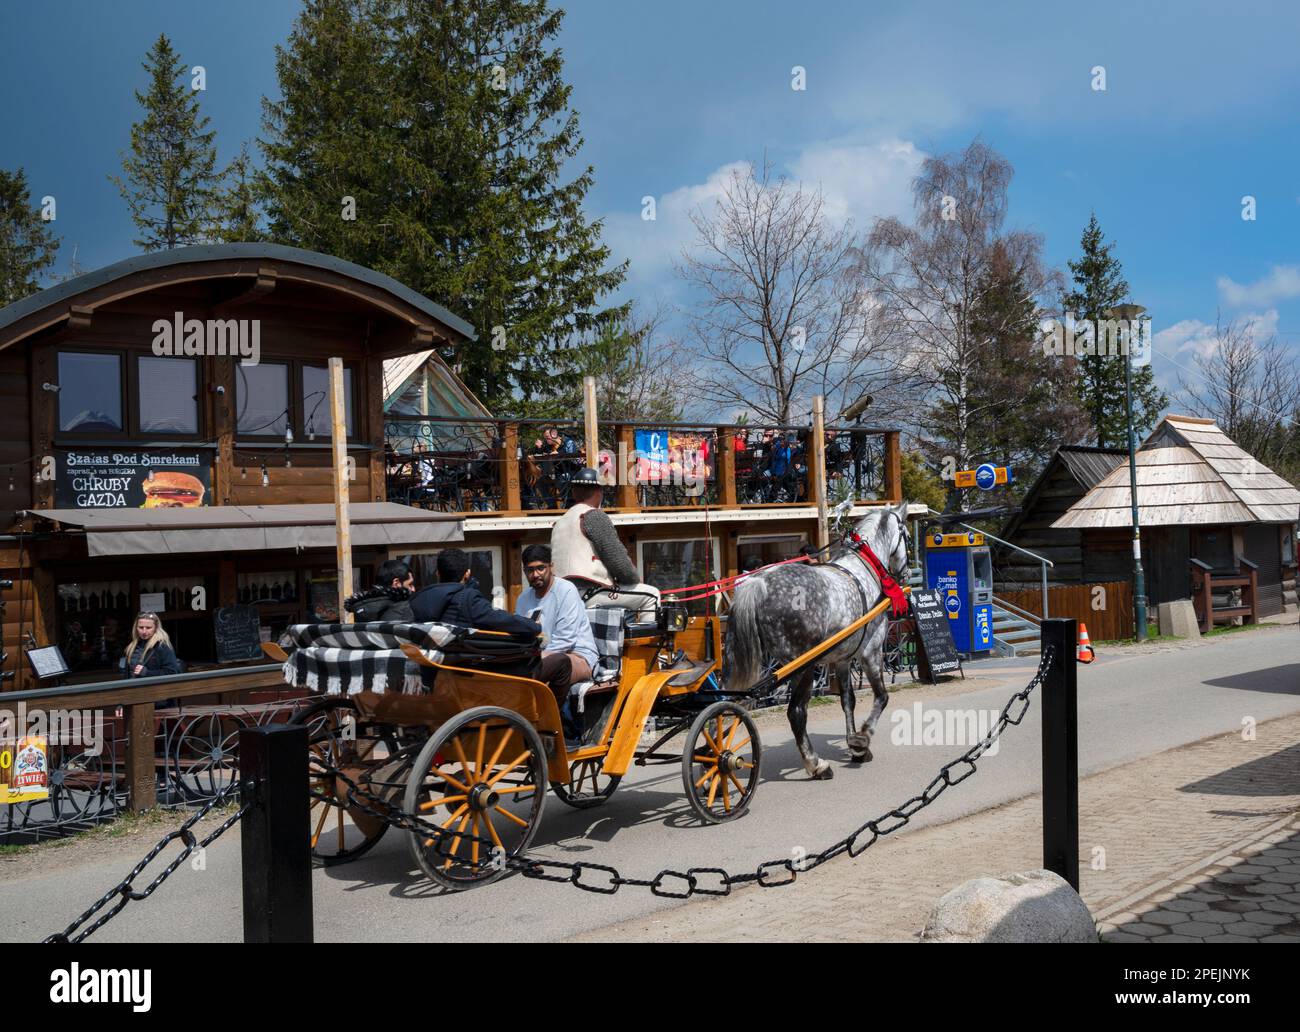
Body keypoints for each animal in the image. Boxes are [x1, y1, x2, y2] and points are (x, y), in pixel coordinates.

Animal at [728, 501, 909, 774]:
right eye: (906, 535)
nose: (907, 573)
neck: (865, 569)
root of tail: (759, 582)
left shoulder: (842, 660)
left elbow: (848, 700)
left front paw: (855, 745)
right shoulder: (872, 651)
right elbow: (882, 697)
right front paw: (863, 738)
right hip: (804, 667)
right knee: (796, 711)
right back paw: (816, 764)